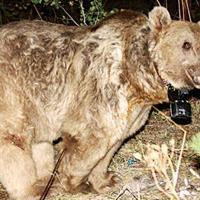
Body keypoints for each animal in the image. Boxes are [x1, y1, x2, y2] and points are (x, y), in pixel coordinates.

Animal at [0, 5, 200, 198]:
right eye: (186, 44)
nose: (198, 72)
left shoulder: (134, 110)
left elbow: (114, 142)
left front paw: (106, 180)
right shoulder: (103, 87)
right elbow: (93, 140)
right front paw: (75, 183)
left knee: (39, 141)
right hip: (13, 89)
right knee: (14, 139)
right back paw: (33, 189)